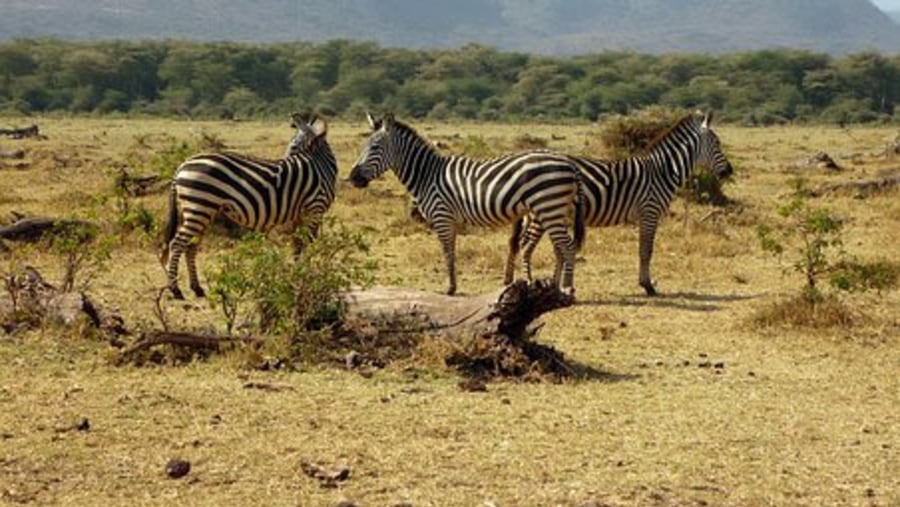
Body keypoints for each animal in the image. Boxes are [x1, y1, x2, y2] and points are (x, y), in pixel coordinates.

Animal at [158, 112, 338, 300]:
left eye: (294, 146)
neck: (320, 165)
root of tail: (181, 166)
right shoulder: (315, 209)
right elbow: (308, 243)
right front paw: (307, 274)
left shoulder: (300, 215)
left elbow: (297, 245)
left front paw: (298, 275)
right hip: (199, 208)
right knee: (177, 244)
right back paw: (175, 289)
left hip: (201, 211)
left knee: (191, 247)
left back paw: (197, 288)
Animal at [344, 113, 584, 296]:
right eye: (363, 146)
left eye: (375, 147)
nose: (353, 178)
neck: (427, 175)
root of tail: (570, 163)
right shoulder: (450, 220)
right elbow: (452, 251)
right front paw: (452, 285)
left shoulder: (441, 217)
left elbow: (448, 253)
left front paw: (450, 288)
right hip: (554, 210)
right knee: (560, 248)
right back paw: (555, 287)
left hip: (549, 207)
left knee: (568, 246)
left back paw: (567, 288)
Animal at [506, 110, 732, 294]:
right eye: (717, 143)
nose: (729, 171)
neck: (661, 172)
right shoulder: (650, 211)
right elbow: (646, 250)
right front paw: (647, 285)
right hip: (542, 212)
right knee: (527, 245)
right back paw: (529, 283)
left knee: (530, 245)